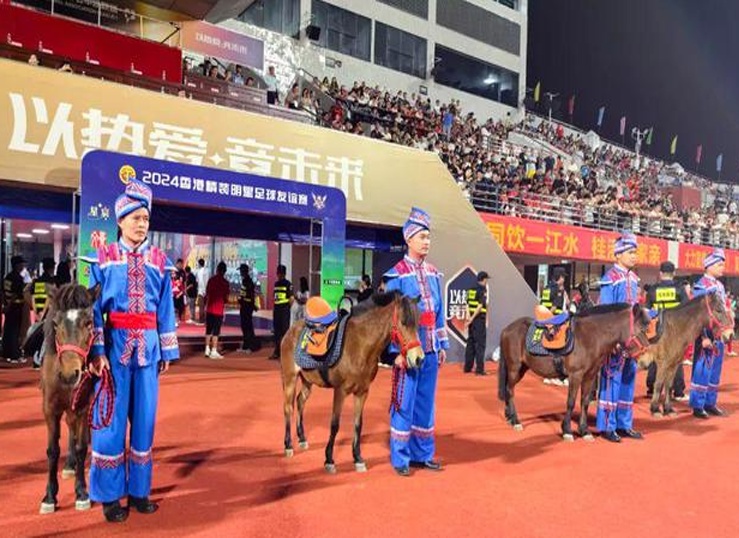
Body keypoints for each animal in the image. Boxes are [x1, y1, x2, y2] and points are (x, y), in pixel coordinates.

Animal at [39, 282, 100, 512]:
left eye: (89, 322)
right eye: (55, 324)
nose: (69, 374)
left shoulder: (81, 406)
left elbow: (81, 446)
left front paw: (81, 492)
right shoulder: (49, 408)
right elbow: (52, 450)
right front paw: (49, 496)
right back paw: (68, 465)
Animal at [282, 292, 424, 472]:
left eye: (417, 324)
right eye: (403, 322)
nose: (419, 358)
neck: (360, 345)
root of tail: (291, 331)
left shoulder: (362, 392)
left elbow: (358, 424)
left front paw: (357, 458)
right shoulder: (340, 391)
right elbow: (335, 424)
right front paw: (329, 459)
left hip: (307, 380)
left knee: (300, 401)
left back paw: (301, 438)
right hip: (290, 378)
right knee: (288, 408)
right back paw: (288, 445)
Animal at [498, 302, 652, 440]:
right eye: (642, 329)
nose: (648, 361)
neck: (590, 337)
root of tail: (507, 329)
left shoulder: (590, 376)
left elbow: (584, 401)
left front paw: (584, 430)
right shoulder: (575, 375)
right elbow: (571, 402)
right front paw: (567, 430)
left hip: (521, 369)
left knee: (508, 389)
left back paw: (509, 416)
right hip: (514, 368)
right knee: (510, 391)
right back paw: (516, 421)